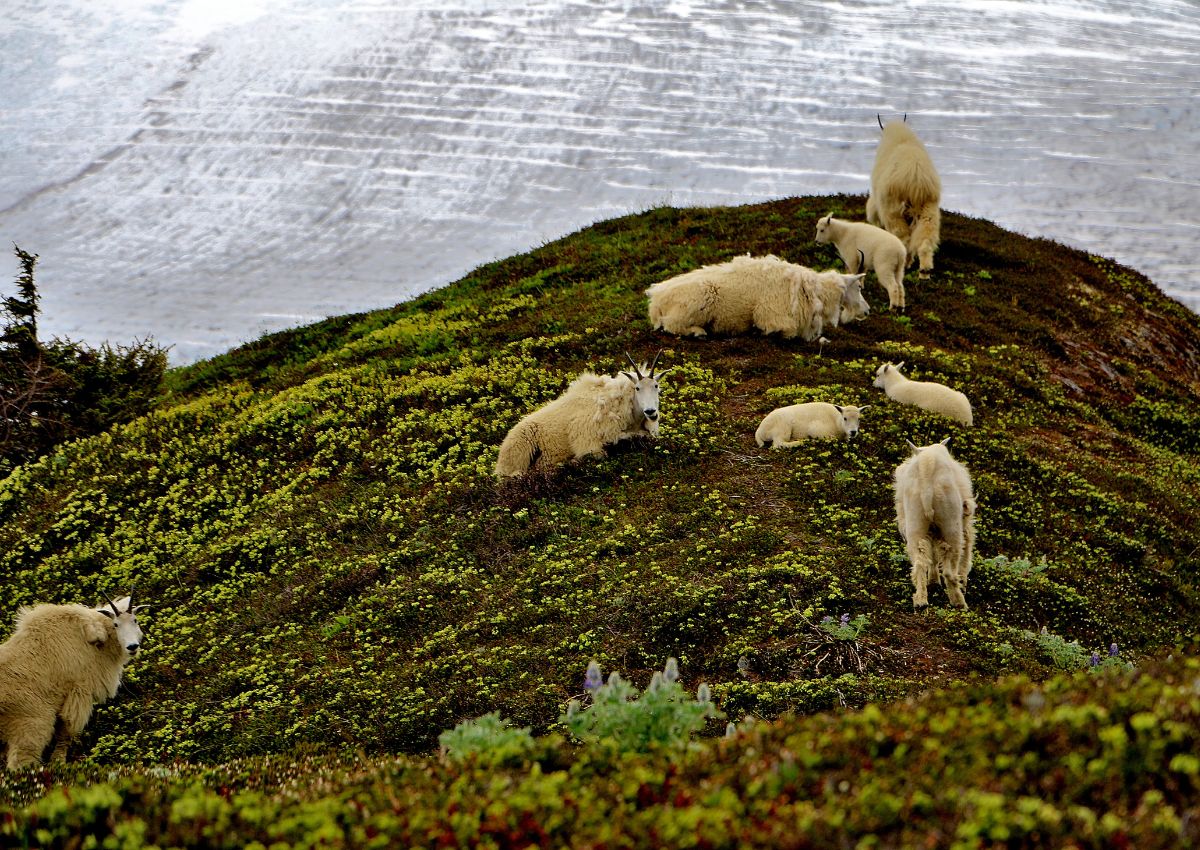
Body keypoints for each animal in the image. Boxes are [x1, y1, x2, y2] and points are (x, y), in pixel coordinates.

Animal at [0, 590, 145, 768]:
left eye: (135, 620)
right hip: (31, 724)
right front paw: (59, 761)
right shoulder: (79, 691)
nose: (132, 647)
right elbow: (67, 728)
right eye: (116, 624)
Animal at [643, 255, 868, 340]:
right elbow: (784, 331)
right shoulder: (772, 315)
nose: (867, 311)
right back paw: (698, 332)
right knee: (671, 325)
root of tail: (656, 299)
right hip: (694, 303)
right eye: (858, 286)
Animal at [868, 116, 940, 278]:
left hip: (893, 210)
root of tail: (915, 176)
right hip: (928, 210)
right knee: (925, 240)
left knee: (903, 239)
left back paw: (905, 264)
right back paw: (924, 271)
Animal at [892, 439, 974, 609]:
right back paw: (959, 602)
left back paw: (921, 601)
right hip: (951, 525)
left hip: (915, 523)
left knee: (919, 563)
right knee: (950, 569)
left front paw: (934, 581)